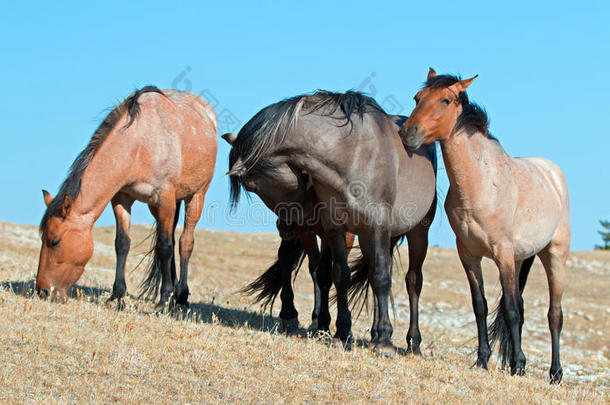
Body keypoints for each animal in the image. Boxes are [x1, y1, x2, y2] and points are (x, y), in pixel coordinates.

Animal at [36, 84, 217, 306]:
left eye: (54, 241)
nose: (43, 291)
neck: (139, 144)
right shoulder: (122, 198)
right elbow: (122, 243)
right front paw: (117, 295)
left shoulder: (164, 198)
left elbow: (164, 247)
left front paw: (164, 298)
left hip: (196, 196)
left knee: (185, 243)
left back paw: (180, 296)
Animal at [226, 89, 434, 354]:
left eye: (252, 186)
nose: (286, 226)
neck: (352, 156)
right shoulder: (334, 228)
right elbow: (339, 275)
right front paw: (342, 332)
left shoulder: (375, 225)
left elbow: (381, 278)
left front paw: (384, 342)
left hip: (417, 233)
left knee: (412, 281)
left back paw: (412, 343)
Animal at [402, 69, 568, 382]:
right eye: (417, 98)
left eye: (445, 100)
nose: (408, 133)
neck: (480, 183)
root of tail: (552, 174)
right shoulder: (468, 254)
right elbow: (481, 306)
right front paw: (483, 360)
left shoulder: (502, 254)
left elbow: (511, 311)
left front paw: (519, 365)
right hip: (521, 259)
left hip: (554, 256)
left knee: (554, 315)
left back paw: (555, 373)